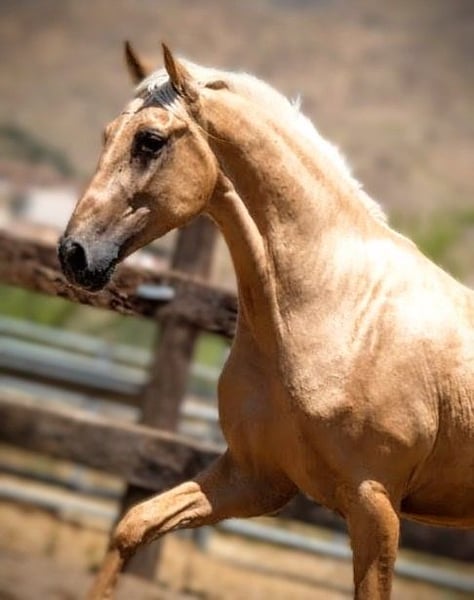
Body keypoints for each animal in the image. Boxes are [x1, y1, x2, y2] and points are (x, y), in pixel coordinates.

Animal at [58, 43, 474, 599]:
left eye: (150, 141)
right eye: (106, 135)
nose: (73, 254)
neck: (338, 308)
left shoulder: (375, 504)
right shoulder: (254, 478)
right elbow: (135, 524)